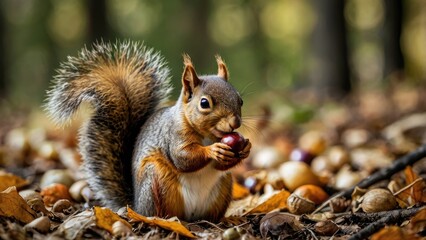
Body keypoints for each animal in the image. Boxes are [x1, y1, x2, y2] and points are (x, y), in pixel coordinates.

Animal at [45, 40, 253, 221]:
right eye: (204, 103)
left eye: (240, 100)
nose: (235, 123)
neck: (208, 136)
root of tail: (136, 206)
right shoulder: (173, 134)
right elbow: (183, 158)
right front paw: (213, 150)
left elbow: (219, 165)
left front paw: (245, 148)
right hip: (156, 180)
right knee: (160, 211)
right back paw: (163, 219)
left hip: (224, 186)